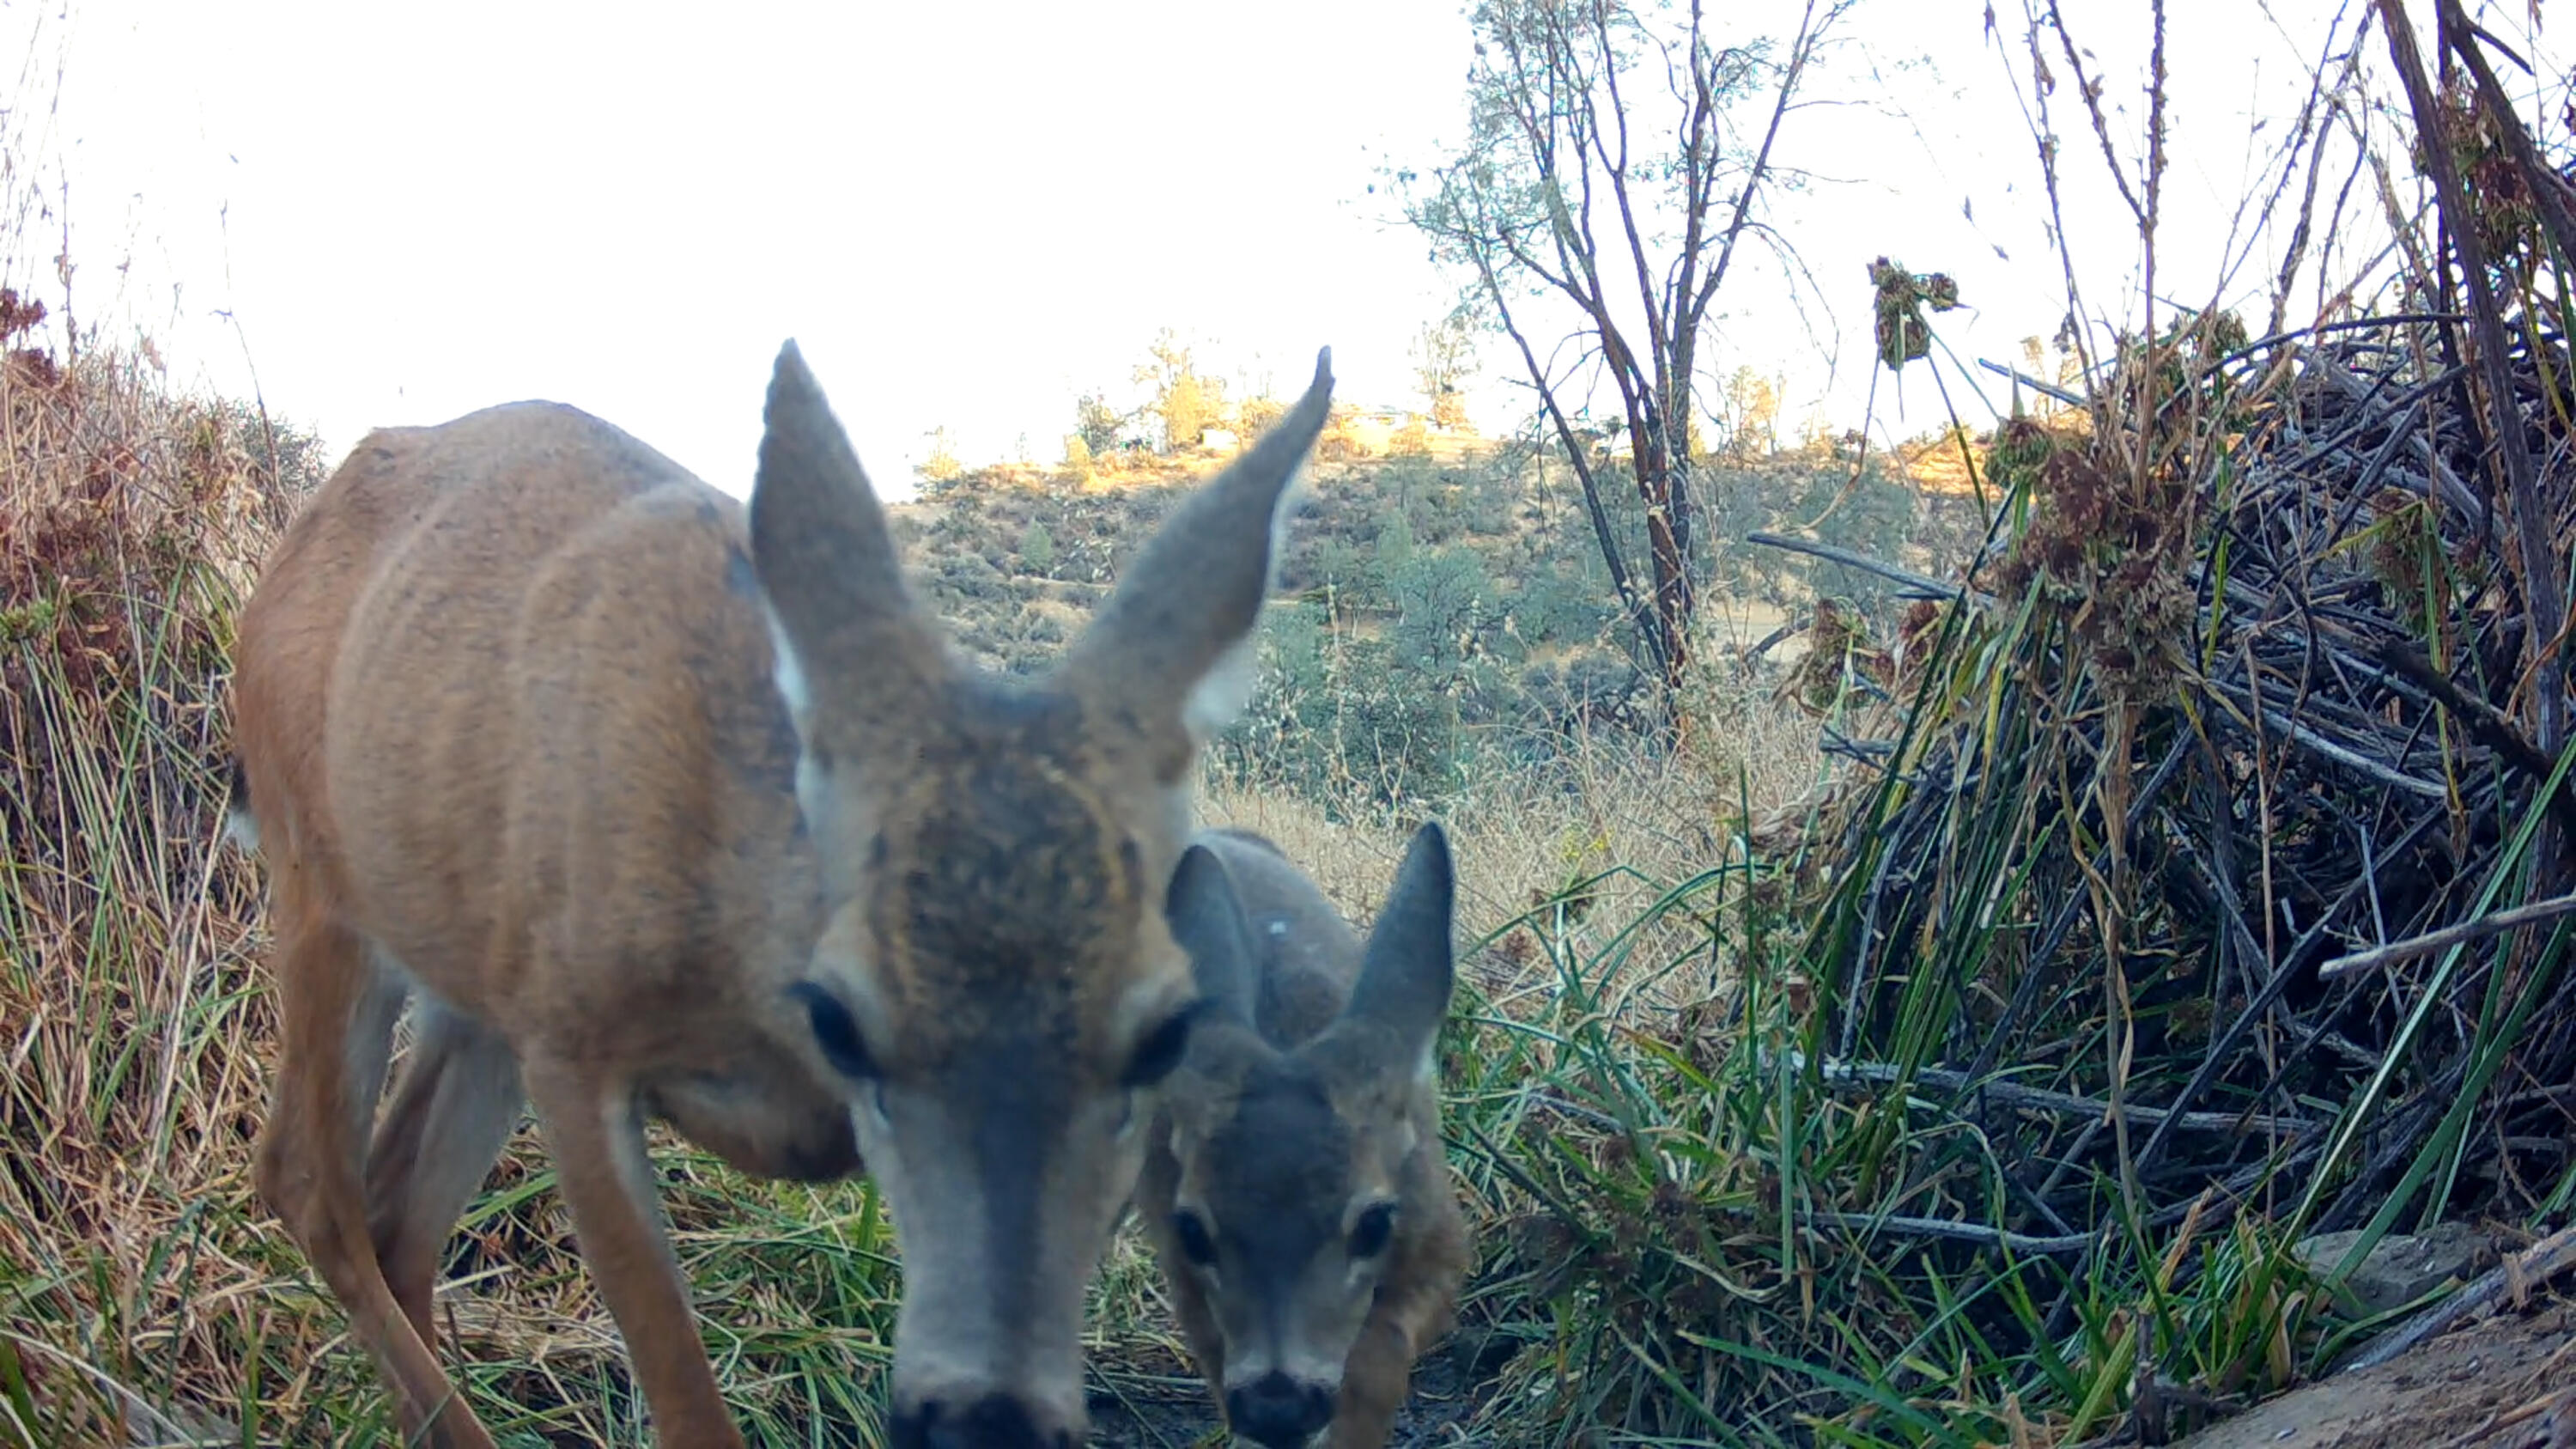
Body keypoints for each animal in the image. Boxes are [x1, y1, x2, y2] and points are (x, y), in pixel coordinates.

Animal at [222, 339, 1334, 1449]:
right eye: (845, 1018)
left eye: (1164, 1031)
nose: (989, 1422)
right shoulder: (575, 1043)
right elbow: (687, 1403)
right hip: (321, 880)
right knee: (307, 1181)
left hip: (479, 973)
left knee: (398, 1210)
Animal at [1136, 822, 1472, 1449]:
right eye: (1193, 1229)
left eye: (1373, 1223)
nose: (1278, 1409)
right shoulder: (1181, 1272)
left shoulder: (1440, 1242)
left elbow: (1376, 1369)